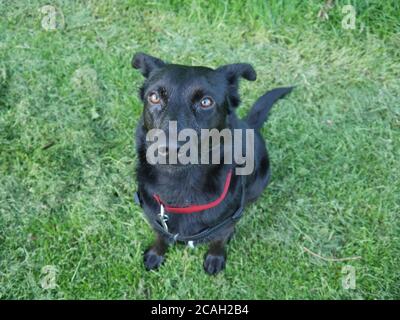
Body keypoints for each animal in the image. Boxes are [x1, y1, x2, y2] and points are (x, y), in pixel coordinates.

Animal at [133, 53, 292, 276]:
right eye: (154, 97)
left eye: (206, 102)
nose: (169, 149)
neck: (179, 185)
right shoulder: (156, 220)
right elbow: (161, 237)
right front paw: (156, 254)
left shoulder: (226, 223)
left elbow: (218, 240)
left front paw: (215, 258)